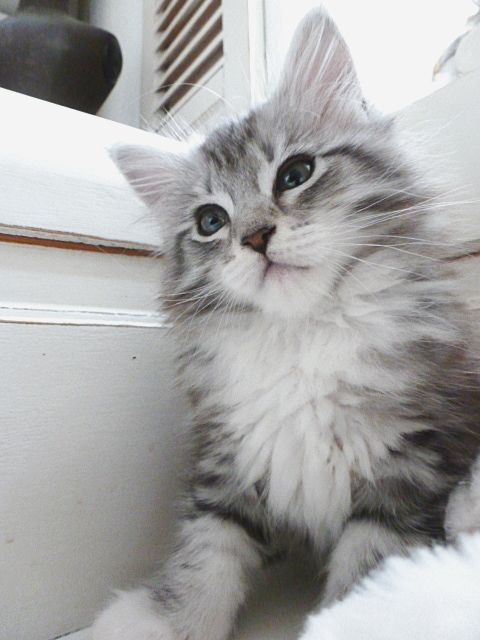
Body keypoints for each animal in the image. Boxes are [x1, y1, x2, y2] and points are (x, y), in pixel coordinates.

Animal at [92, 8, 480, 640]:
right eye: (210, 221)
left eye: (296, 174)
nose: (254, 237)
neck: (304, 337)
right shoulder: (228, 463)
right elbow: (205, 559)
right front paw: (167, 622)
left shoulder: (410, 473)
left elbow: (368, 573)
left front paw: (353, 622)